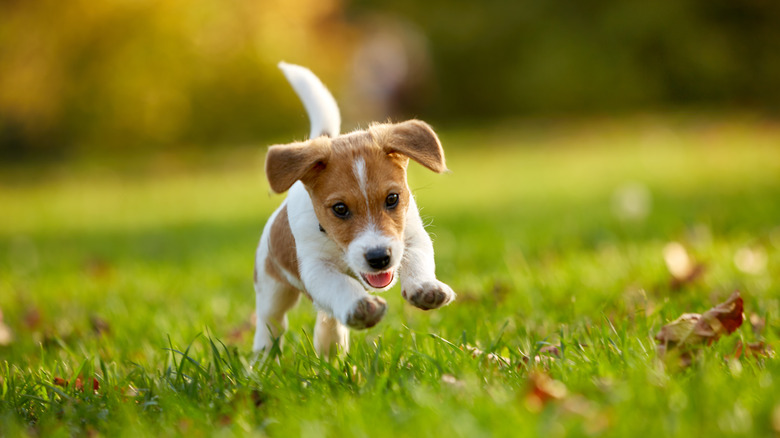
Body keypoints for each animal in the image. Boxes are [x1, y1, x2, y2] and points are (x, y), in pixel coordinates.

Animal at [253, 61, 454, 356]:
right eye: (340, 208)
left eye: (392, 199)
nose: (379, 258)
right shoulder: (315, 268)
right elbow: (340, 285)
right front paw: (361, 306)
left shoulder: (412, 237)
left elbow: (418, 261)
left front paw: (425, 287)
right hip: (271, 291)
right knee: (270, 325)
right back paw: (263, 361)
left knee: (329, 320)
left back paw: (331, 354)